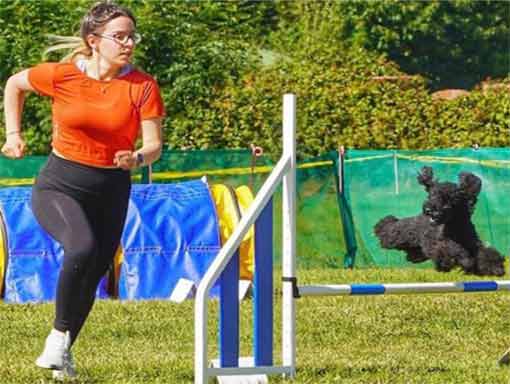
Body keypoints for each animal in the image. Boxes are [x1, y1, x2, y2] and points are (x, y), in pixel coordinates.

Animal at [374, 166, 506, 276]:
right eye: (432, 195)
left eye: (447, 199)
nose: (428, 209)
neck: (456, 227)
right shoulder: (442, 245)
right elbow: (455, 251)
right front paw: (465, 262)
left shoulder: (474, 244)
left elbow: (485, 254)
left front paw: (495, 268)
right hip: (403, 235)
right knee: (390, 231)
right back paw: (383, 224)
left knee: (417, 253)